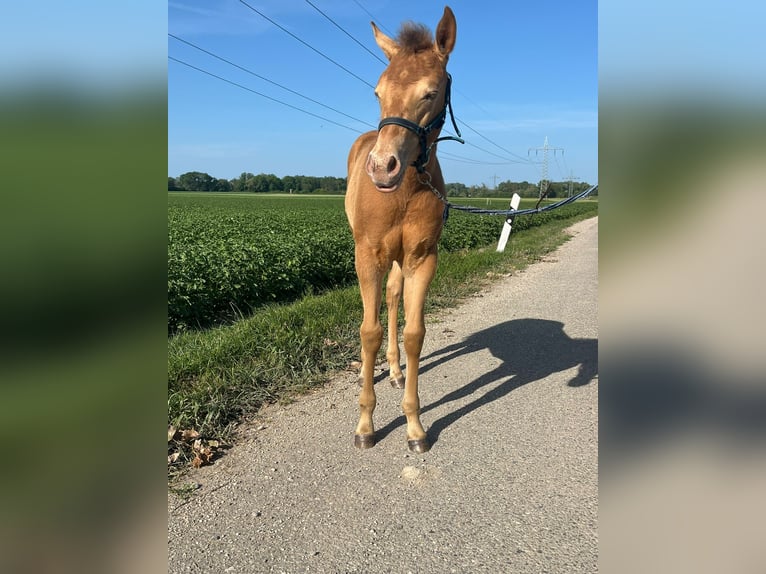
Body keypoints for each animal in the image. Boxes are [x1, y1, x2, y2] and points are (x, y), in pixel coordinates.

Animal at [345, 6, 458, 454]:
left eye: (430, 92)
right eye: (377, 92)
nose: (382, 167)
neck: (405, 193)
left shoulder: (422, 259)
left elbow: (414, 334)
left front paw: (414, 427)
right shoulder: (367, 255)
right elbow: (369, 331)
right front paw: (365, 425)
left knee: (393, 297)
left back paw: (393, 371)